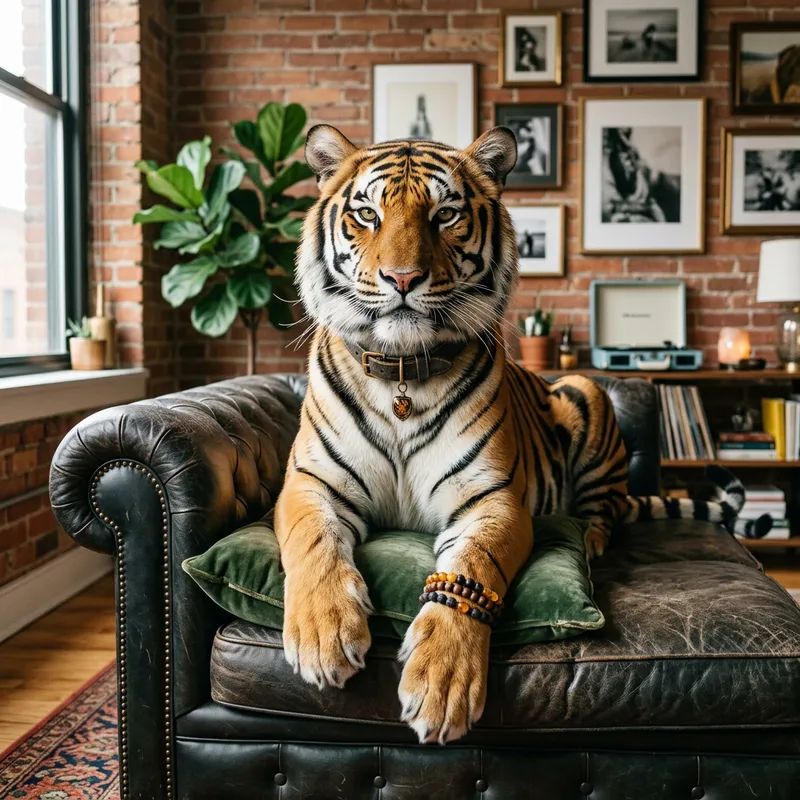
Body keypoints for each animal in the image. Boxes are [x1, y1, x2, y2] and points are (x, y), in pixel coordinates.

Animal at [273, 124, 755, 745]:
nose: (402, 279)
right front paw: (323, 635)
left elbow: (470, 571)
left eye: (445, 214)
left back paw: (589, 539)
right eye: (367, 214)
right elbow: (313, 544)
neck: (402, 374)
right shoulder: (311, 484)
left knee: (607, 511)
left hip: (585, 391)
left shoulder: (492, 501)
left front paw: (443, 682)